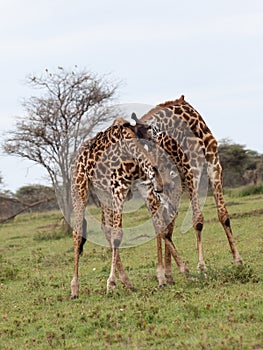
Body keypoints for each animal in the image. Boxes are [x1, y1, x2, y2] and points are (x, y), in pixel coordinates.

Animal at [69, 116, 184, 296]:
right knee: (78, 232)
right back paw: (74, 288)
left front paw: (174, 273)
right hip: (79, 186)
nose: (161, 187)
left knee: (105, 229)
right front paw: (111, 283)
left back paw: (127, 282)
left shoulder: (143, 187)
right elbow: (118, 235)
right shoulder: (119, 188)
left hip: (103, 194)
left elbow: (160, 227)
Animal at [133, 95, 244, 284]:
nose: (147, 173)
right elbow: (197, 220)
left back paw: (168, 274)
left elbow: (223, 215)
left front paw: (237, 260)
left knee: (166, 221)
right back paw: (163, 275)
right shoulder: (190, 171)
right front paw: (202, 267)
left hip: (172, 185)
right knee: (160, 223)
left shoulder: (212, 163)